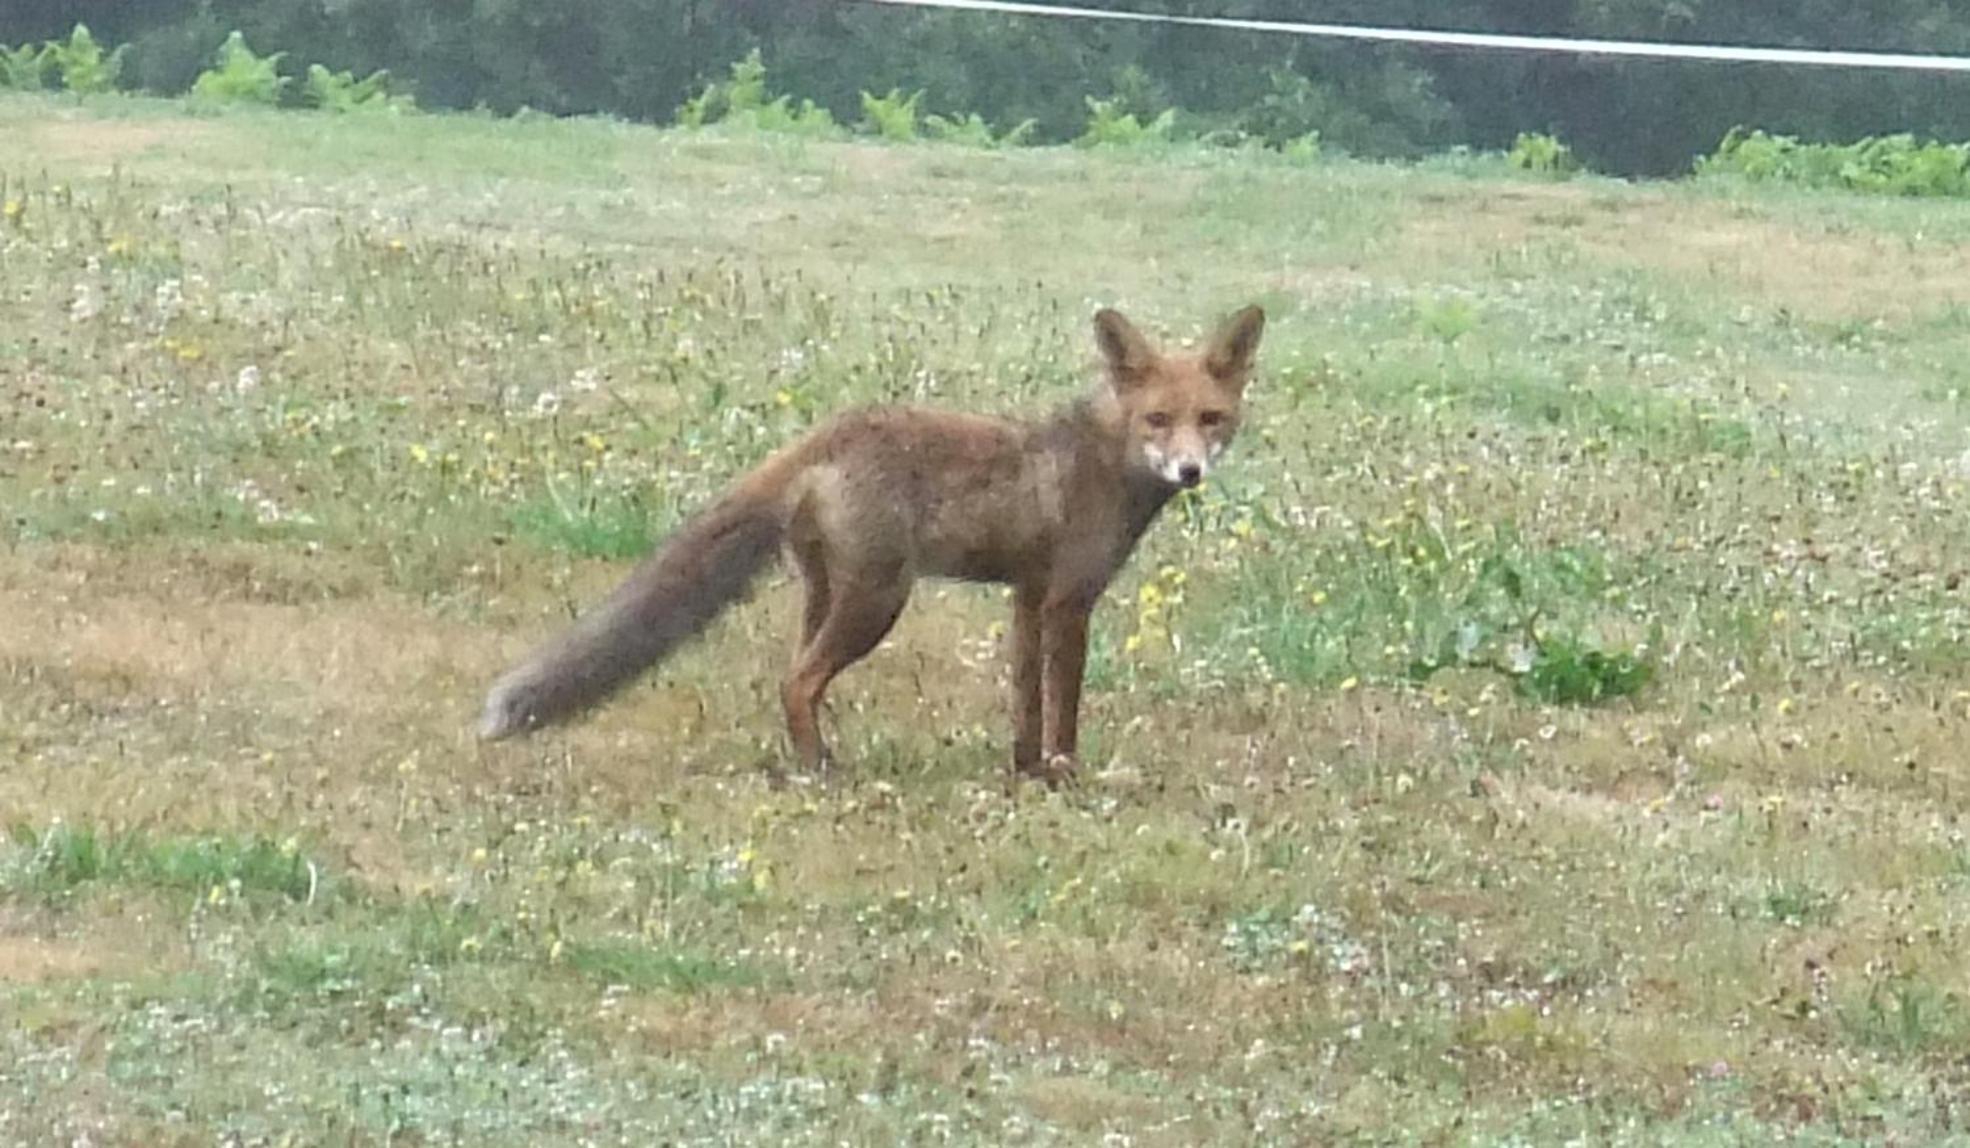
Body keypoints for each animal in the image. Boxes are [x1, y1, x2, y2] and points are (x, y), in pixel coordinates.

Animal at [484, 305, 1268, 787]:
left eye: (1211, 418)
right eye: (1158, 420)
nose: (1190, 471)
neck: (1104, 460)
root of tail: (825, 432)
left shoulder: (1026, 596)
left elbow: (1025, 705)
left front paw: (1024, 775)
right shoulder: (1068, 601)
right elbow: (1063, 709)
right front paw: (1065, 778)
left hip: (829, 594)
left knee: (791, 676)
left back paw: (809, 760)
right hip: (878, 601)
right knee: (797, 681)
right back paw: (823, 771)